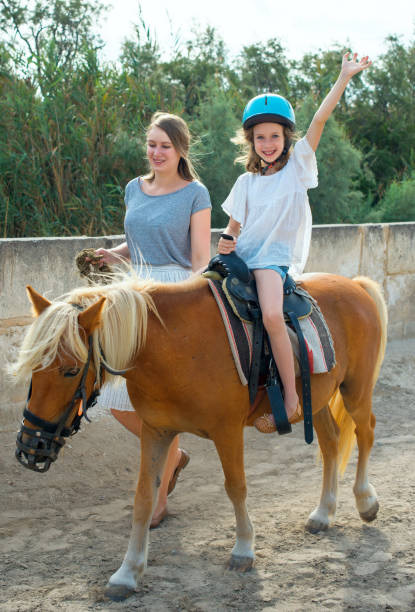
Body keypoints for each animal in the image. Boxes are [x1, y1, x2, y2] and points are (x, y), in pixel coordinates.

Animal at [13, 272, 390, 596]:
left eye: (70, 370)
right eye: (33, 367)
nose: (32, 446)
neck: (174, 346)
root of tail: (354, 284)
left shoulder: (228, 432)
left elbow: (236, 487)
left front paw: (243, 549)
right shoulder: (156, 431)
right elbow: (143, 498)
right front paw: (128, 572)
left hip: (356, 390)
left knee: (366, 432)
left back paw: (365, 500)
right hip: (319, 399)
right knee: (330, 443)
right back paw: (324, 512)